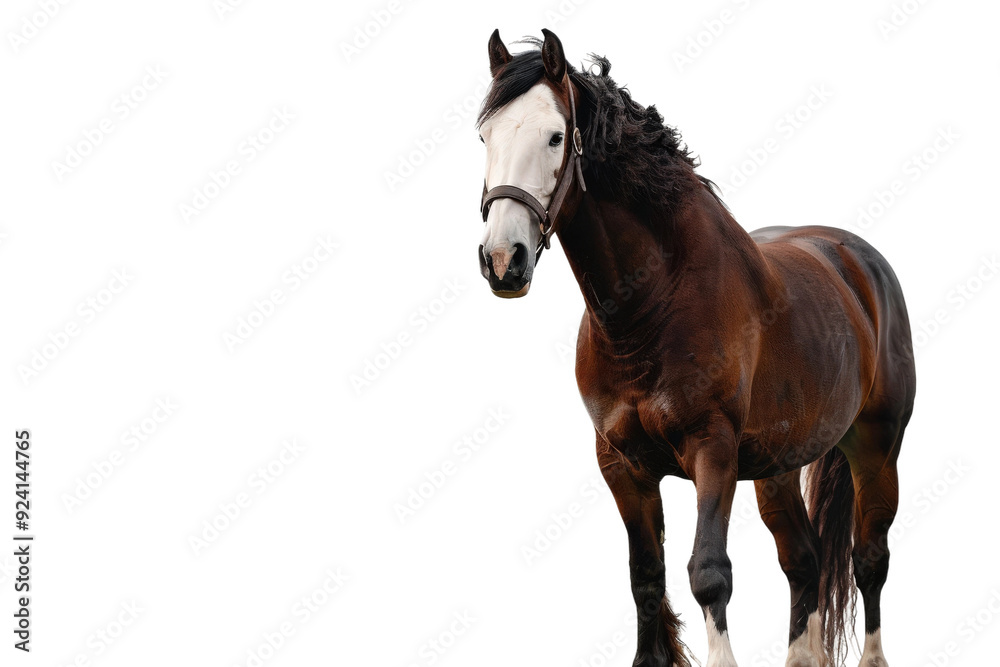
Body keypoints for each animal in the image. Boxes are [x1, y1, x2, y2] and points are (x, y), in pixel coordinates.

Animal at [474, 30, 916, 667]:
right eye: (485, 137)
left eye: (556, 136)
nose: (502, 259)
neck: (652, 305)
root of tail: (857, 261)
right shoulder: (622, 466)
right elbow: (646, 576)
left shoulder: (712, 450)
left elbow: (708, 573)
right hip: (777, 467)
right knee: (804, 561)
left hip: (876, 447)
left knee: (869, 560)